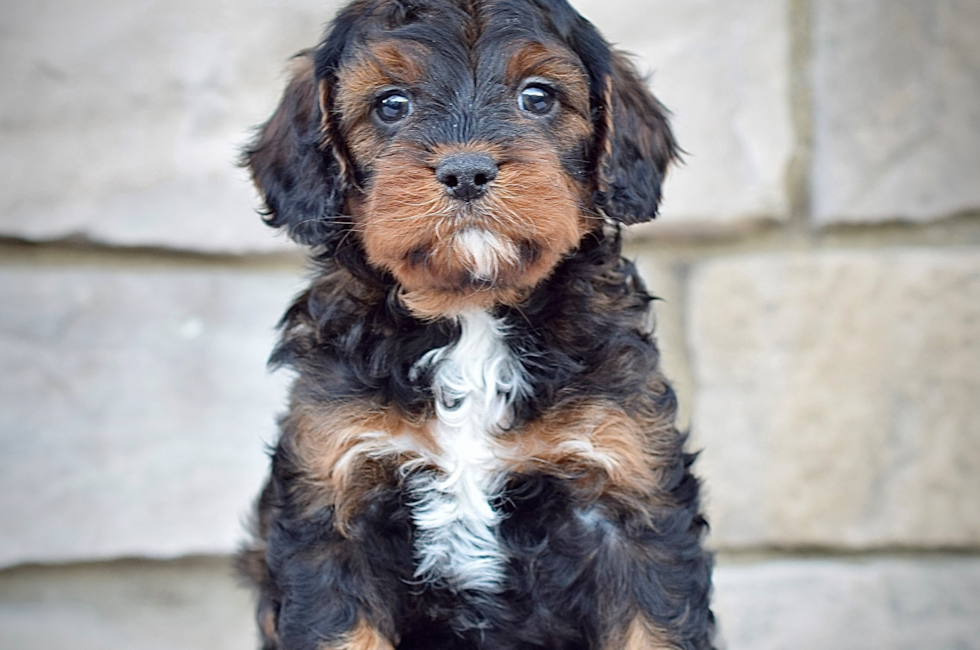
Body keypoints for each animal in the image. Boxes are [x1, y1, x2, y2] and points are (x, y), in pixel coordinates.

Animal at [237, 1, 712, 648]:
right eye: (391, 104)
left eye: (537, 97)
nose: (467, 171)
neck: (471, 314)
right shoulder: (333, 497)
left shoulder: (631, 499)